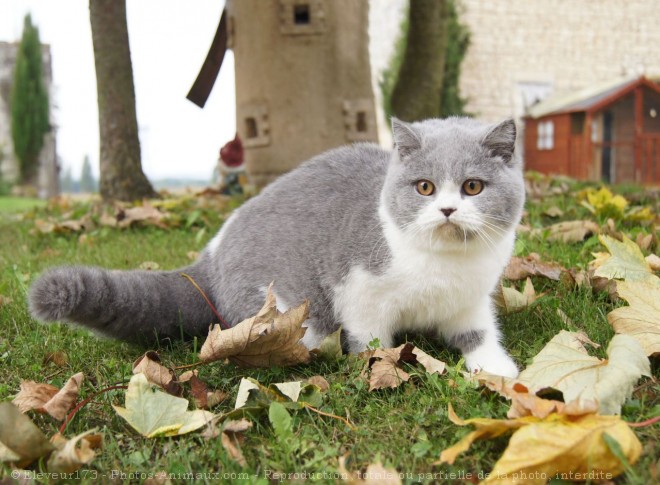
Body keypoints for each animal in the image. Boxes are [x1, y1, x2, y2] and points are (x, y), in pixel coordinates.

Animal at [28, 117, 524, 378]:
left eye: (473, 186)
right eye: (424, 187)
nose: (447, 209)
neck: (443, 267)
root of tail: (210, 257)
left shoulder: (471, 299)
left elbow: (477, 332)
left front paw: (499, 372)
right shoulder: (359, 289)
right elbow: (372, 339)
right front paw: (381, 368)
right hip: (285, 314)